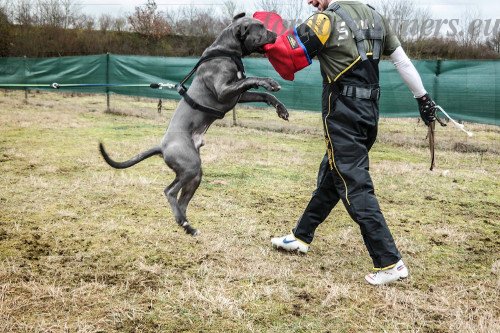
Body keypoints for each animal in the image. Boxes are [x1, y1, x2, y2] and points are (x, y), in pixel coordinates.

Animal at [98, 13, 290, 236]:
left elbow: (263, 94)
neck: (225, 51)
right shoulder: (224, 91)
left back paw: (187, 225)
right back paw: (184, 222)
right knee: (170, 191)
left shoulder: (238, 95)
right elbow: (251, 78)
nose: (275, 35)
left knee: (181, 200)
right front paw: (269, 81)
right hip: (190, 166)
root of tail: (162, 147)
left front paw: (281, 109)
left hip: (194, 175)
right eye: (260, 27)